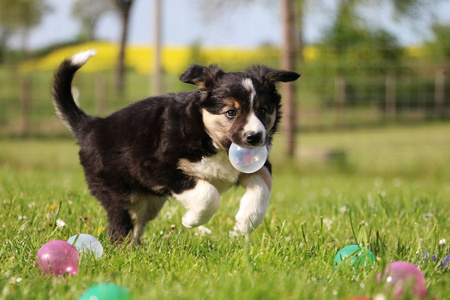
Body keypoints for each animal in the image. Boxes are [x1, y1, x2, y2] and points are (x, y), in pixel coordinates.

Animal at [51, 50, 298, 245]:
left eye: (263, 110)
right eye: (231, 112)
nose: (255, 137)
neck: (209, 138)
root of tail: (92, 126)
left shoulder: (258, 164)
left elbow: (262, 185)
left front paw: (246, 222)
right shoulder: (163, 168)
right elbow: (208, 195)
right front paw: (191, 220)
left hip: (149, 201)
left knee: (137, 224)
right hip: (119, 194)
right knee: (119, 227)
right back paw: (121, 250)